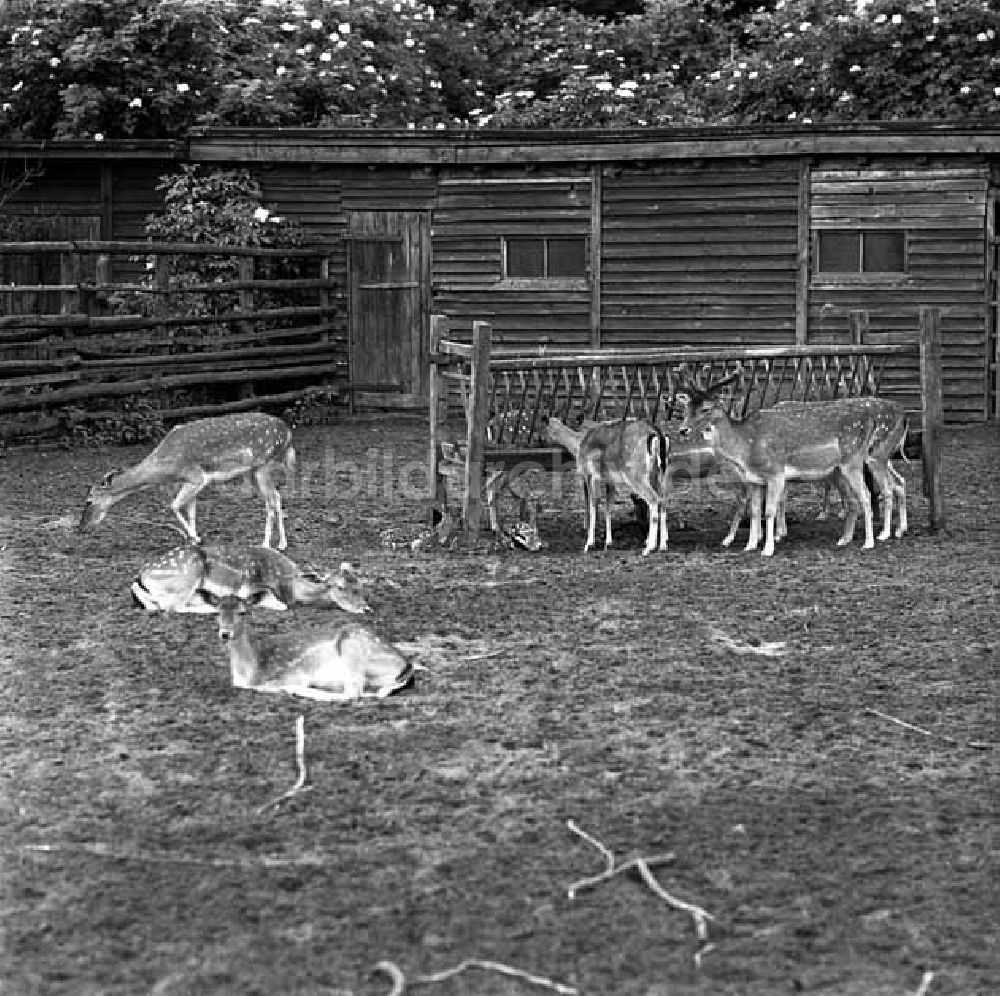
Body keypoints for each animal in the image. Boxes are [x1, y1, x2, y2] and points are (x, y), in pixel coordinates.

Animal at [79, 414, 294, 552]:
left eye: (89, 501)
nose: (81, 528)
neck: (167, 468)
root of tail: (288, 432)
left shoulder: (196, 477)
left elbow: (173, 505)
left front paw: (195, 538)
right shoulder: (193, 482)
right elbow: (191, 512)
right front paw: (193, 541)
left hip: (263, 464)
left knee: (270, 502)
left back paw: (266, 544)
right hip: (250, 472)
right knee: (276, 496)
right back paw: (282, 543)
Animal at [129, 544, 370, 616]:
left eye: (359, 584)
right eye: (340, 587)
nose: (365, 608)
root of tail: (141, 576)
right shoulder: (251, 587)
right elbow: (281, 605)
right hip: (188, 576)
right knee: (171, 607)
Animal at [217, 592, 420, 700]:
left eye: (243, 612)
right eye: (217, 612)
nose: (225, 633)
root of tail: (407, 666)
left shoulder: (294, 673)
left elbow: (263, 686)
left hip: (353, 648)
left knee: (352, 693)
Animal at [544, 412, 668, 552]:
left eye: (546, 428)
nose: (544, 440)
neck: (578, 445)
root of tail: (657, 433)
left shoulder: (590, 474)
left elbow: (593, 504)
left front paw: (589, 544)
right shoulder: (610, 481)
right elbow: (608, 507)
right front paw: (608, 542)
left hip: (635, 474)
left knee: (653, 499)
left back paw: (649, 548)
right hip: (658, 473)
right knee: (663, 499)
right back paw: (662, 545)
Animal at [672, 378, 876, 556]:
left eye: (705, 409)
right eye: (686, 407)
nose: (682, 430)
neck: (745, 450)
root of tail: (871, 422)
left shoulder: (775, 473)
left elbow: (769, 510)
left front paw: (768, 549)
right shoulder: (754, 480)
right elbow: (755, 511)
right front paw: (750, 546)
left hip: (852, 460)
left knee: (866, 495)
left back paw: (869, 543)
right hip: (838, 470)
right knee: (853, 499)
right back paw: (844, 540)